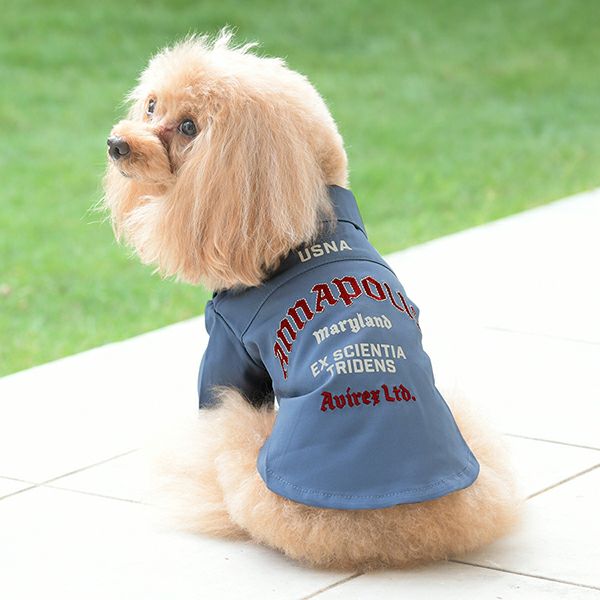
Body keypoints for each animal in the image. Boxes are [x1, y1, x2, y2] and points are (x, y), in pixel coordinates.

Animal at [103, 30, 521, 570]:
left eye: (191, 127)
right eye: (152, 105)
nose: (117, 144)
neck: (303, 219)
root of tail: (391, 530)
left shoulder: (226, 346)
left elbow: (209, 391)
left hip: (246, 449)